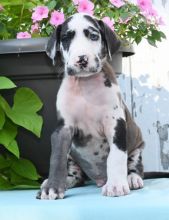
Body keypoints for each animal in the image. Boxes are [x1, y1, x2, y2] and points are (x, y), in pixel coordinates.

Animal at [37, 12, 144, 200]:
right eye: (66, 38)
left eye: (94, 36)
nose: (81, 59)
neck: (85, 85)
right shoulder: (63, 129)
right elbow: (57, 158)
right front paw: (52, 187)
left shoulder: (115, 124)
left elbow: (116, 157)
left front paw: (116, 185)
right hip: (72, 155)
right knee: (76, 176)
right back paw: (65, 181)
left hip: (137, 146)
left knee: (133, 165)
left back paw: (132, 178)